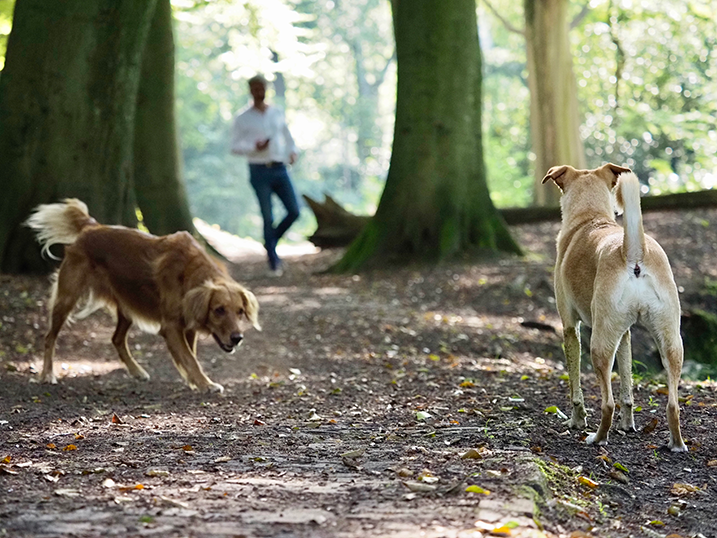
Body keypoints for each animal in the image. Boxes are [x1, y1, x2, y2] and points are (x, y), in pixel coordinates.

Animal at [25, 199, 260, 392]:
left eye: (240, 312)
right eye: (218, 310)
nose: (237, 338)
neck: (190, 272)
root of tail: (91, 227)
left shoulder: (188, 326)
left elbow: (190, 356)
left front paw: (195, 381)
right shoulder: (171, 327)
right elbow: (190, 359)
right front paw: (206, 384)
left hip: (128, 305)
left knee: (117, 339)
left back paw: (137, 371)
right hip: (67, 298)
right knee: (50, 337)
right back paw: (47, 374)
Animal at [544, 163, 688, 448]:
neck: (590, 217)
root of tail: (632, 251)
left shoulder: (570, 328)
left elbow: (576, 387)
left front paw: (577, 420)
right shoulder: (625, 334)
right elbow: (627, 389)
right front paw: (628, 425)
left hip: (599, 345)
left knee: (607, 404)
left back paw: (597, 438)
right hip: (670, 342)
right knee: (673, 406)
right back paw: (676, 444)